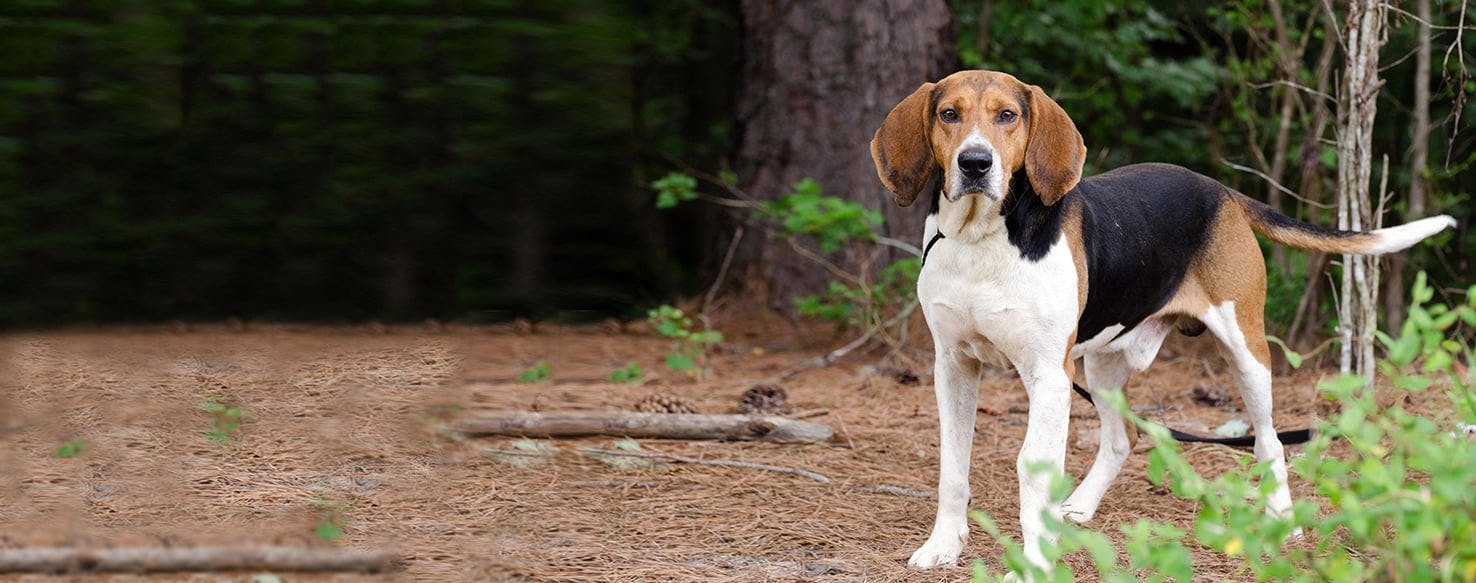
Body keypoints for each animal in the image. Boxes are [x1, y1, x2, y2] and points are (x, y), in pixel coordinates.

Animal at [861, 69, 1452, 575]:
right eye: (949, 114)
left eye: (1007, 116)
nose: (975, 164)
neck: (980, 241)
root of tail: (1220, 188)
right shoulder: (953, 366)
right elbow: (953, 465)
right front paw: (944, 546)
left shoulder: (1048, 377)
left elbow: (1031, 467)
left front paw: (1032, 565)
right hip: (1100, 364)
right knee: (1122, 439)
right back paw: (1079, 506)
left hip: (1246, 352)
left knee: (1270, 442)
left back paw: (1283, 521)